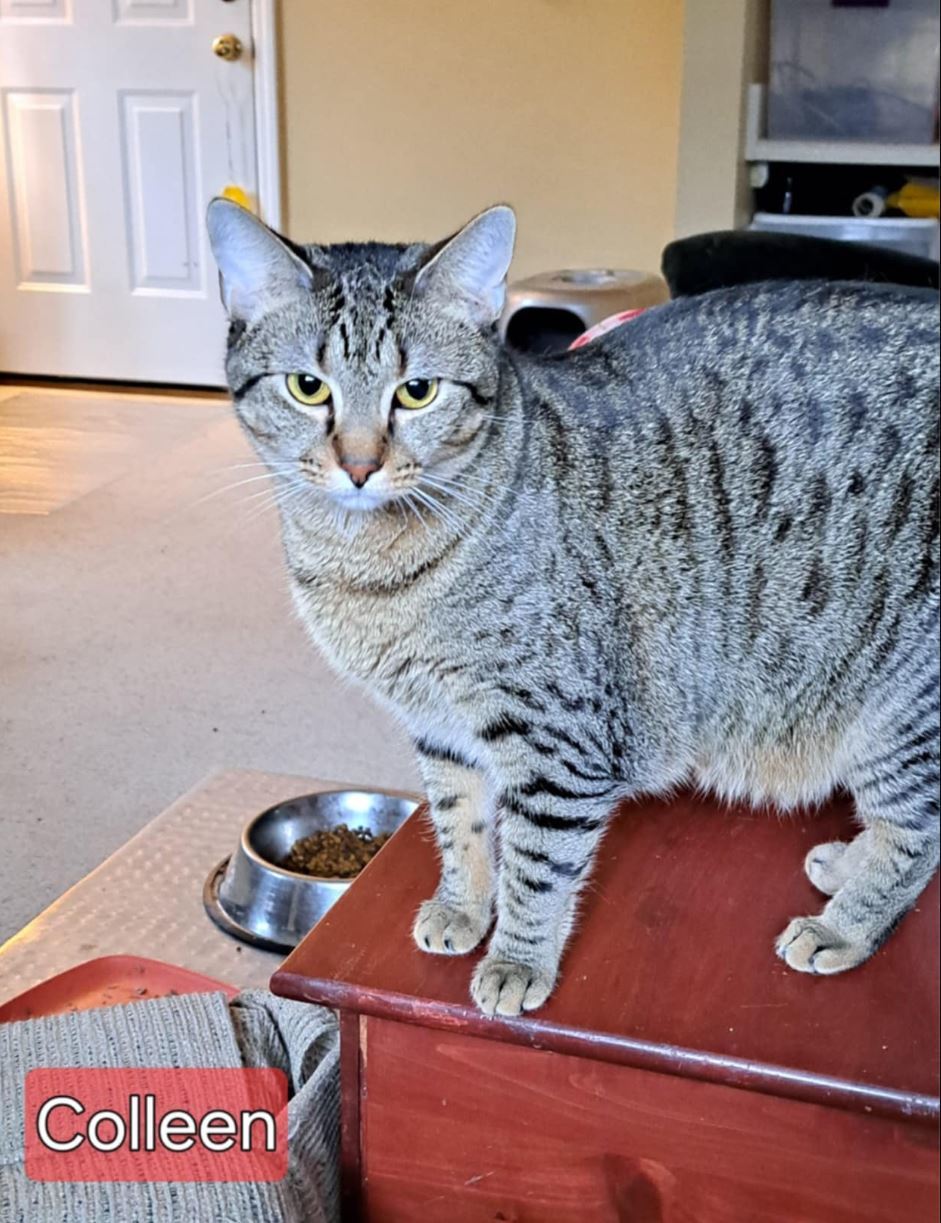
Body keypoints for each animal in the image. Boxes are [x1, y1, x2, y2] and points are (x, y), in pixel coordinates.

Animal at [208, 200, 939, 1017]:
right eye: (308, 387)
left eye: (417, 391)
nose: (359, 465)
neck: (372, 571)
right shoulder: (439, 726)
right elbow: (458, 824)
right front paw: (462, 907)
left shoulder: (560, 741)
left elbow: (536, 861)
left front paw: (517, 959)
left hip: (901, 709)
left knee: (917, 834)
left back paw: (845, 923)